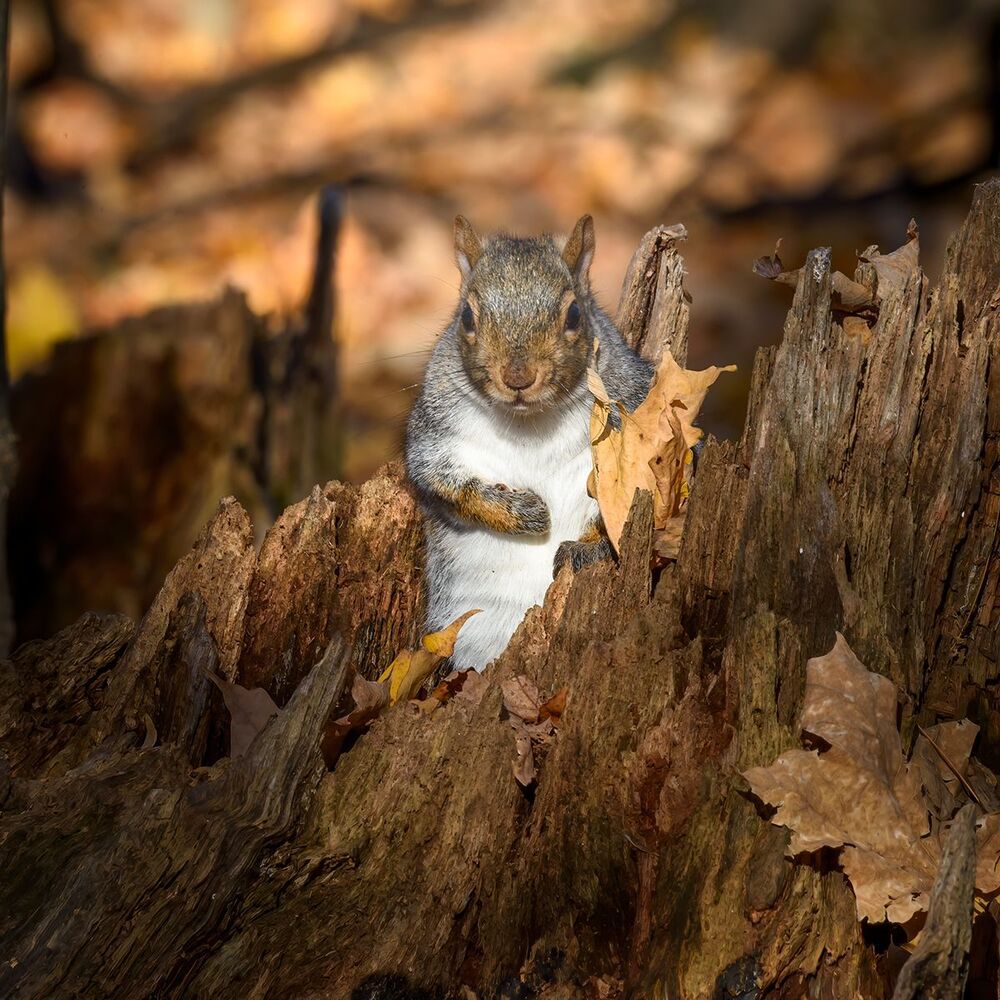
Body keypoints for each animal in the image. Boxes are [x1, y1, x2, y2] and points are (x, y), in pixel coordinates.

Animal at [405, 215, 653, 671]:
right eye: (466, 317)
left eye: (574, 314)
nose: (517, 377)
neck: (530, 424)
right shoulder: (434, 437)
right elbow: (449, 486)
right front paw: (525, 514)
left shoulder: (636, 408)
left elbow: (636, 496)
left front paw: (587, 546)